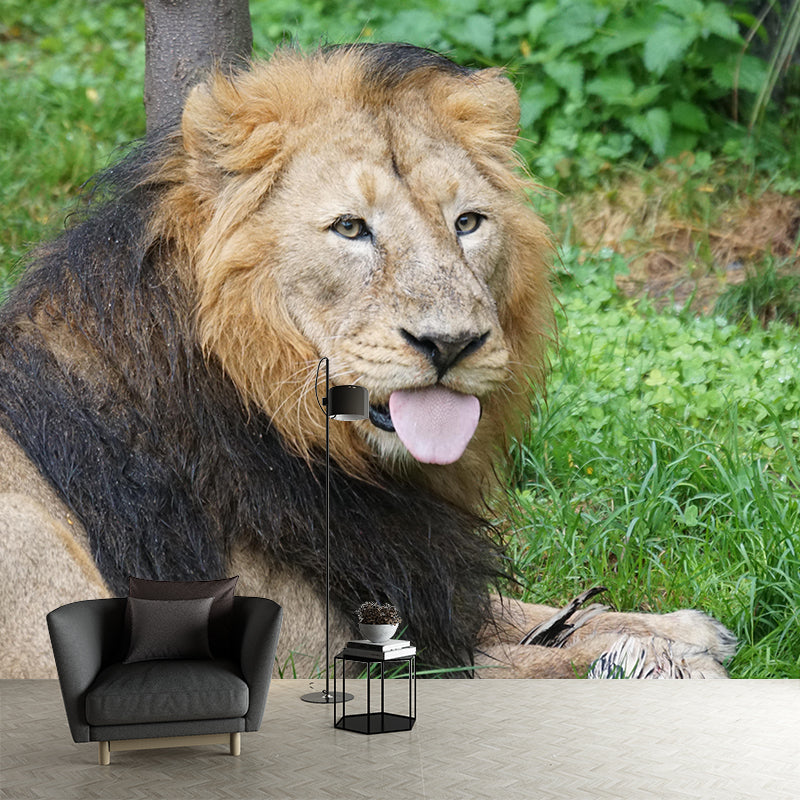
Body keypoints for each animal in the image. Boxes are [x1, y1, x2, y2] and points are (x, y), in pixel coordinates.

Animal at [0, 43, 736, 679]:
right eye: (350, 228)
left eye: (468, 223)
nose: (451, 343)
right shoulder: (304, 648)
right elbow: (509, 664)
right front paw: (657, 660)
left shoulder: (412, 575)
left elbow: (526, 612)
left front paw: (678, 628)